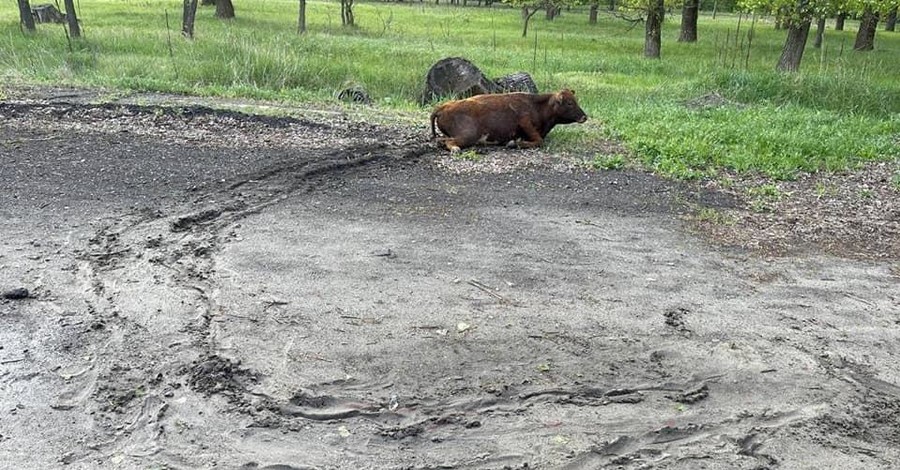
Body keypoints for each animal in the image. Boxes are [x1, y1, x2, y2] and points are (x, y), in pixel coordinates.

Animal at [430, 89, 588, 152]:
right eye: (570, 103)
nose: (584, 116)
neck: (538, 105)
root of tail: (444, 106)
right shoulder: (524, 121)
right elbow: (539, 141)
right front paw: (514, 143)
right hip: (469, 135)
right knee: (448, 141)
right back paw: (456, 149)